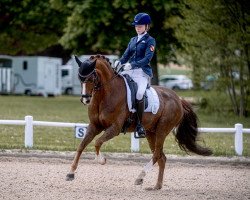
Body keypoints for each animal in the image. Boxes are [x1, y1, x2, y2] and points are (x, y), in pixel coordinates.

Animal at [65, 54, 212, 189]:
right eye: (80, 78)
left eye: (91, 78)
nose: (85, 99)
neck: (105, 94)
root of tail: (179, 99)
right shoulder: (95, 126)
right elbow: (81, 145)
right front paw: (71, 173)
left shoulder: (115, 128)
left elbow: (97, 142)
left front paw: (101, 160)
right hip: (151, 132)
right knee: (161, 157)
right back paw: (157, 186)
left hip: (162, 130)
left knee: (157, 154)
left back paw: (140, 177)